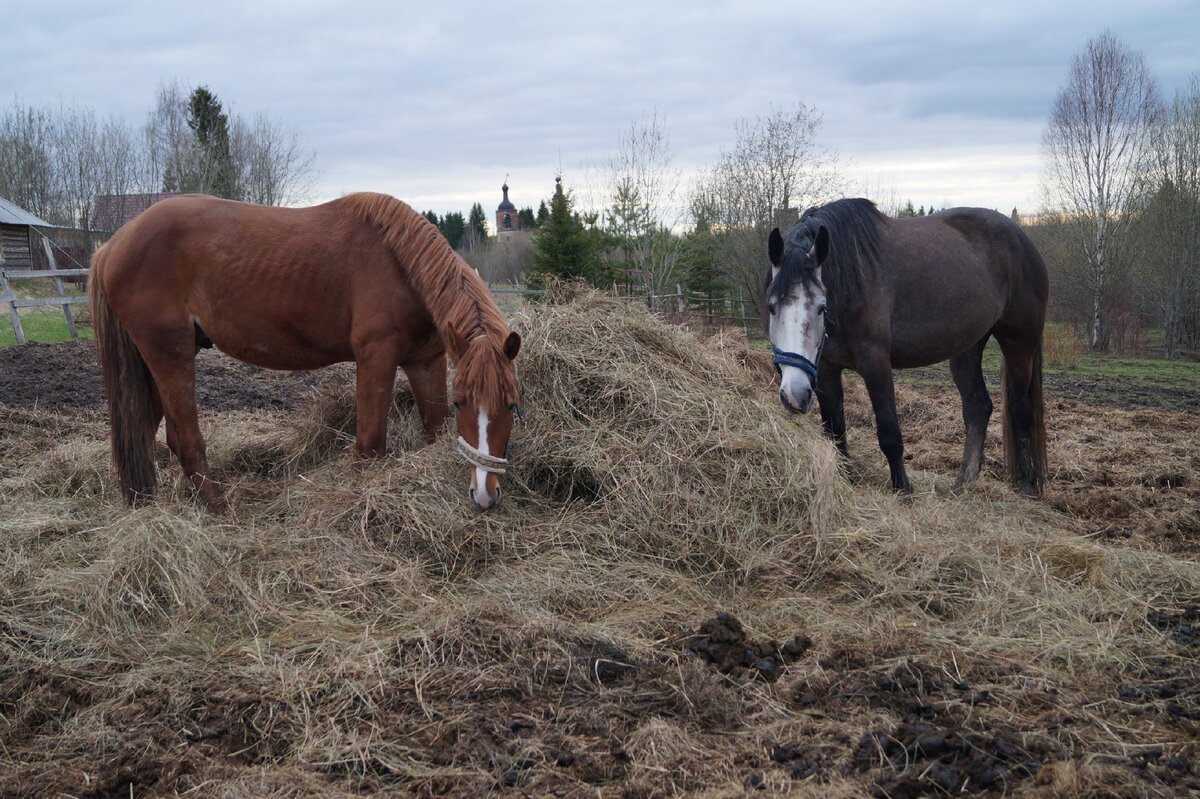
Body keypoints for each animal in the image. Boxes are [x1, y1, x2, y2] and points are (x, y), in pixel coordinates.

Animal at [91, 191, 523, 511]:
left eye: (511, 404)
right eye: (462, 402)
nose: (485, 496)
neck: (402, 267)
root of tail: (113, 244)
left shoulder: (425, 362)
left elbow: (433, 428)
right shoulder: (376, 359)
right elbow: (370, 444)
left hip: (153, 364)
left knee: (142, 435)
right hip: (171, 356)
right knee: (184, 440)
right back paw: (218, 509)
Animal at [763, 197, 1046, 494]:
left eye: (821, 307)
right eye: (772, 307)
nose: (794, 395)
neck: (851, 280)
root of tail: (1022, 239)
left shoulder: (876, 363)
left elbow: (889, 432)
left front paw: (903, 489)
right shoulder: (826, 370)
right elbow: (835, 431)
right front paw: (847, 479)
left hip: (1019, 343)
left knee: (1020, 409)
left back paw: (1026, 485)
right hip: (967, 347)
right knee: (977, 408)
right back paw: (962, 483)